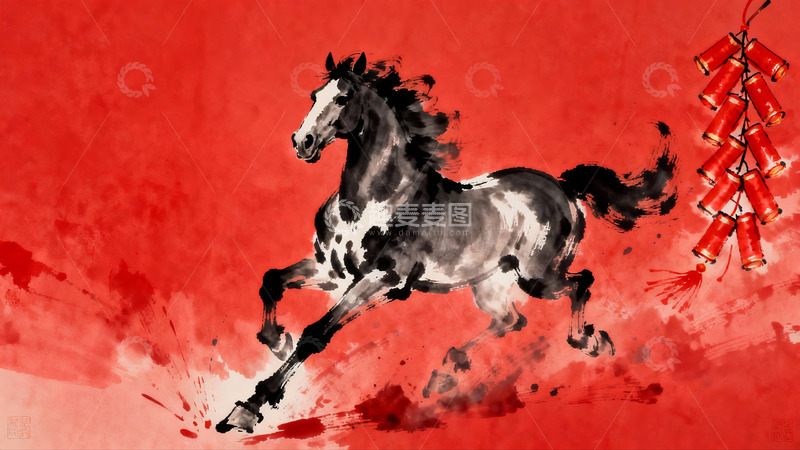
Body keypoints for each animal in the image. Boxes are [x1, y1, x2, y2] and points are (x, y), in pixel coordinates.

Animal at [217, 52, 676, 433]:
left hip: (538, 277)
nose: (302, 143)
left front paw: (246, 410)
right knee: (510, 320)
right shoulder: (331, 270)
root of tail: (563, 188)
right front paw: (276, 341)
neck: (374, 200)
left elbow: (316, 333)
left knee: (580, 282)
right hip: (489, 284)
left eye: (343, 98)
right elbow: (271, 280)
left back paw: (590, 342)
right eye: (315, 94)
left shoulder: (383, 280)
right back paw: (447, 372)